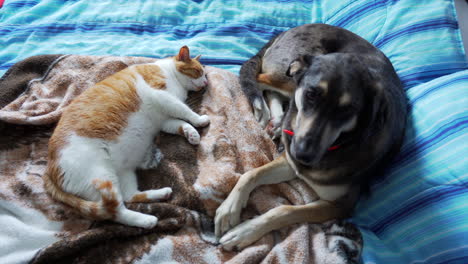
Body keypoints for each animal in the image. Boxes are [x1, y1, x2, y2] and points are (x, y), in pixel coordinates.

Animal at [43, 46, 208, 228]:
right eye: (199, 72)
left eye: (204, 75)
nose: (206, 83)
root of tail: (49, 168)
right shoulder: (162, 96)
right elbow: (185, 111)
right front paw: (200, 120)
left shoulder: (164, 120)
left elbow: (180, 123)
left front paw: (192, 133)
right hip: (102, 175)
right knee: (114, 211)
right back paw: (148, 220)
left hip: (124, 173)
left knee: (129, 196)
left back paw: (161, 193)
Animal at [214, 24, 408, 250]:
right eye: (311, 94)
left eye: (347, 110)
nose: (302, 154)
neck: (342, 143)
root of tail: (293, 29)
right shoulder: (291, 162)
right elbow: (250, 174)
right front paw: (229, 209)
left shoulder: (338, 205)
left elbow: (283, 209)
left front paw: (245, 231)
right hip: (291, 78)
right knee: (258, 79)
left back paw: (278, 121)